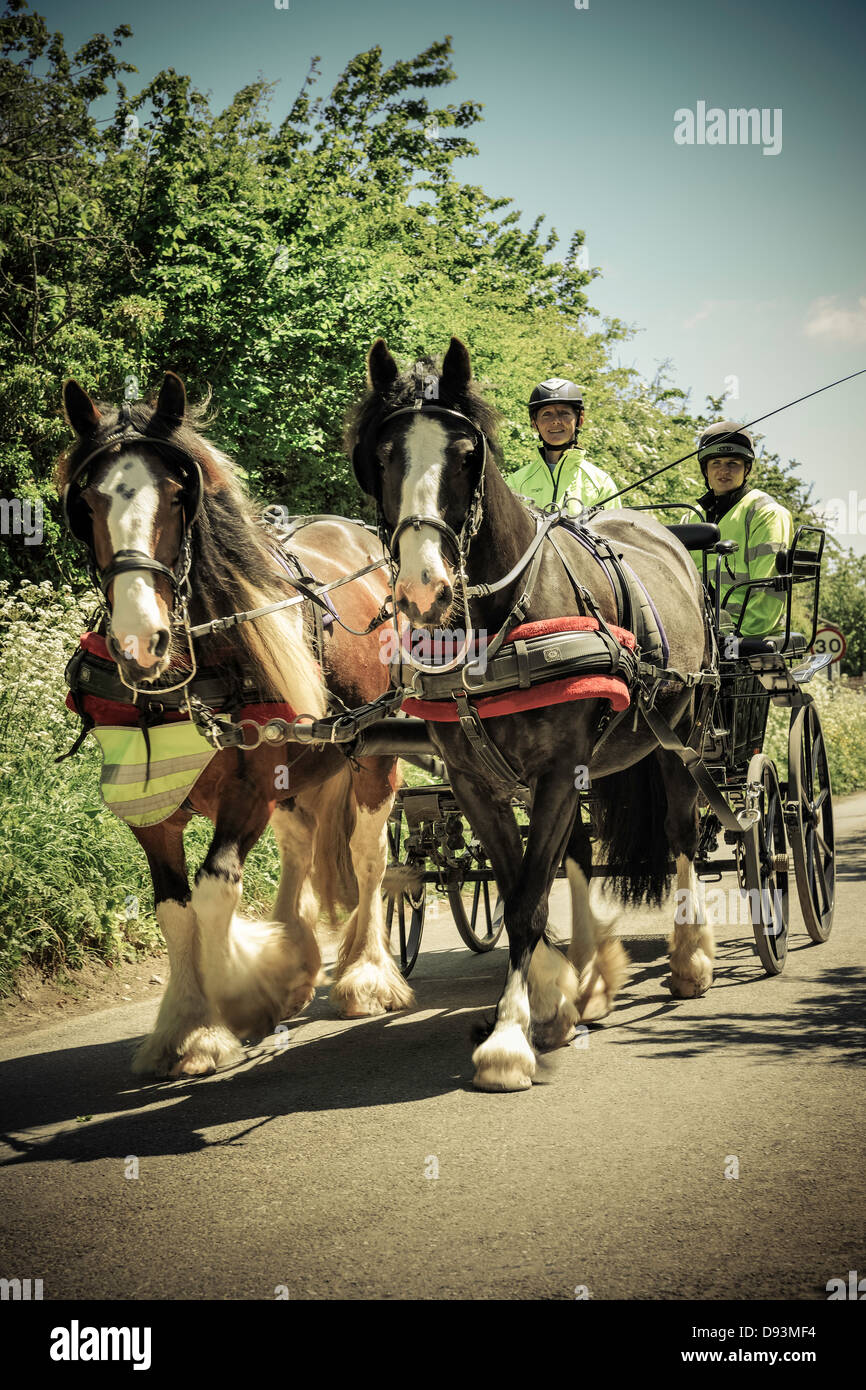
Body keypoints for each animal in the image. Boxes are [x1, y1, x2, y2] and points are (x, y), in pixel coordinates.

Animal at [57, 371, 413, 1078]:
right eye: (86, 501)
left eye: (178, 496)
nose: (140, 641)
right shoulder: (151, 801)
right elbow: (173, 909)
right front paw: (186, 1028)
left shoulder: (250, 783)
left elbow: (215, 892)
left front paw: (240, 1001)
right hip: (305, 768)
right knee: (302, 844)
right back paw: (301, 959)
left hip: (372, 753)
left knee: (368, 858)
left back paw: (364, 975)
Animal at [349, 337, 714, 1092]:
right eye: (384, 454)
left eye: (467, 455)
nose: (425, 588)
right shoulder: (474, 783)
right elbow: (526, 884)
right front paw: (551, 1001)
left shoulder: (555, 769)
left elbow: (523, 902)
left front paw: (510, 1041)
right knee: (575, 856)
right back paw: (592, 980)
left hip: (681, 732)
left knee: (683, 834)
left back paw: (691, 961)